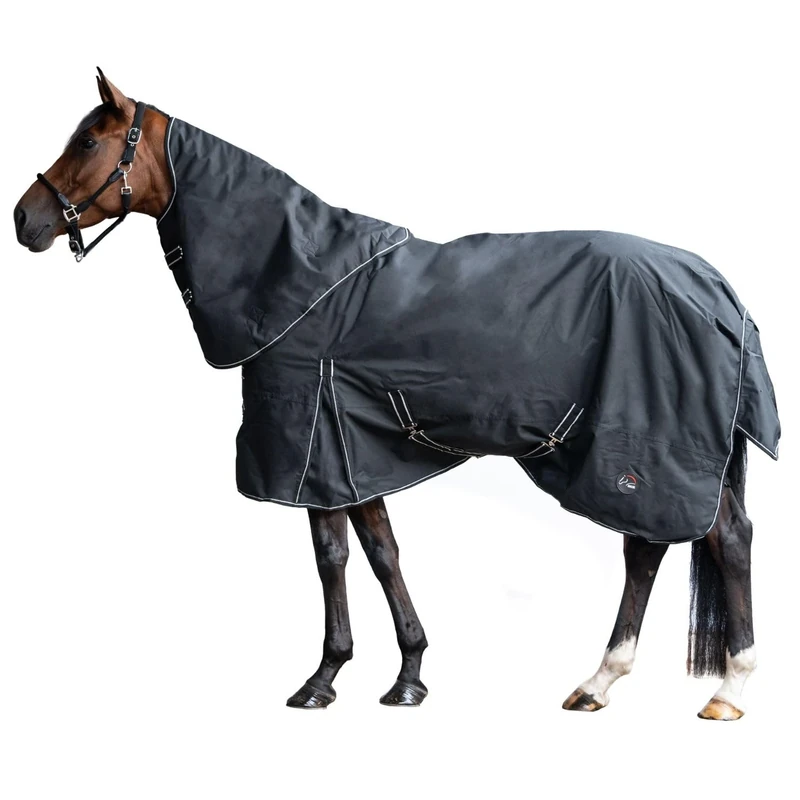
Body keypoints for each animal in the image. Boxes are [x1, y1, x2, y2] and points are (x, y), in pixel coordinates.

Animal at [14, 69, 779, 719]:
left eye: (88, 140)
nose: (25, 220)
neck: (302, 282)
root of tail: (715, 286)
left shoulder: (309, 450)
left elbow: (333, 560)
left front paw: (323, 680)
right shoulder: (350, 454)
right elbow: (381, 555)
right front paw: (408, 676)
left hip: (644, 450)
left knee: (722, 538)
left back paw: (727, 689)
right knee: (653, 548)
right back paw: (599, 683)